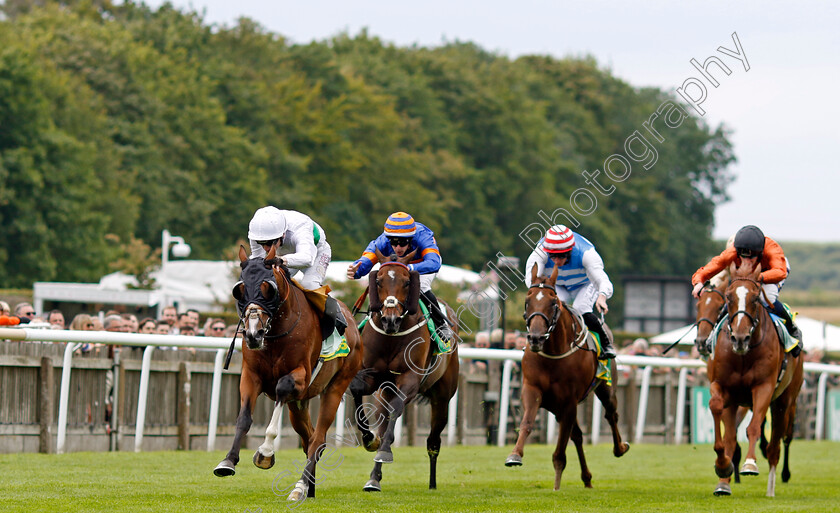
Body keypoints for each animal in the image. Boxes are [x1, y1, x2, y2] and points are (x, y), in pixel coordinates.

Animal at [213, 244, 360, 500]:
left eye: (268, 288)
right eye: (239, 289)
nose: (253, 335)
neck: (275, 334)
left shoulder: (299, 376)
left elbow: (281, 389)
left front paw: (265, 452)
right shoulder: (251, 376)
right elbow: (244, 417)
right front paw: (228, 461)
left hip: (336, 386)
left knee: (318, 439)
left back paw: (300, 487)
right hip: (298, 405)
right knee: (309, 438)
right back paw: (309, 486)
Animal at [352, 248, 462, 492]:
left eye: (406, 282)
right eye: (379, 281)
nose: (390, 319)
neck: (391, 337)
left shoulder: (410, 380)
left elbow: (396, 410)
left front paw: (384, 451)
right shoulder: (371, 375)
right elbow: (356, 390)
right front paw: (369, 439)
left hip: (442, 397)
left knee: (433, 441)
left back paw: (432, 483)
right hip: (384, 393)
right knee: (384, 424)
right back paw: (374, 478)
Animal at [506, 264, 632, 488]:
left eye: (553, 302)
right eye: (527, 300)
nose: (535, 338)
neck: (553, 355)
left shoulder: (569, 402)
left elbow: (559, 454)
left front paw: (556, 488)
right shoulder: (532, 390)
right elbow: (527, 423)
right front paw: (515, 455)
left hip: (606, 388)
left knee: (611, 415)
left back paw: (620, 448)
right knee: (578, 436)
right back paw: (587, 478)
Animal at [708, 260, 808, 496]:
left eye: (755, 299)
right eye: (728, 298)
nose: (740, 338)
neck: (744, 355)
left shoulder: (763, 387)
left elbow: (753, 428)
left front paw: (750, 464)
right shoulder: (724, 388)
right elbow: (720, 420)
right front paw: (722, 468)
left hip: (784, 401)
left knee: (776, 446)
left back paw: (772, 487)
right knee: (735, 438)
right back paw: (725, 482)